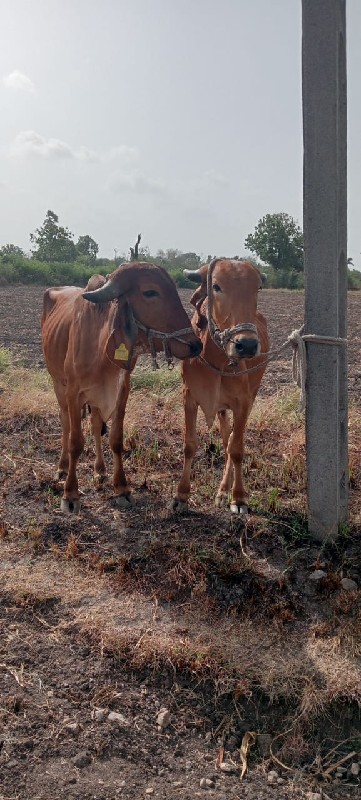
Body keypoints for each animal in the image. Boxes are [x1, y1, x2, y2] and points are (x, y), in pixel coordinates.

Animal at [41, 262, 202, 512]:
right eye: (150, 292)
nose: (196, 345)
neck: (100, 348)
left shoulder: (120, 392)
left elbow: (115, 439)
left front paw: (121, 488)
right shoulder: (73, 394)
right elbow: (76, 442)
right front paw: (70, 494)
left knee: (95, 425)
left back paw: (100, 471)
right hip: (58, 384)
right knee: (66, 423)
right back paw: (62, 467)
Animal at [171, 260, 268, 516]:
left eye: (257, 288)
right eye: (216, 286)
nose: (247, 345)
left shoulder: (243, 402)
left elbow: (237, 449)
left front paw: (239, 497)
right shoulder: (189, 397)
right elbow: (189, 445)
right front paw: (181, 495)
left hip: (251, 395)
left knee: (231, 443)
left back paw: (226, 491)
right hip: (223, 408)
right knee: (225, 440)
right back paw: (222, 490)